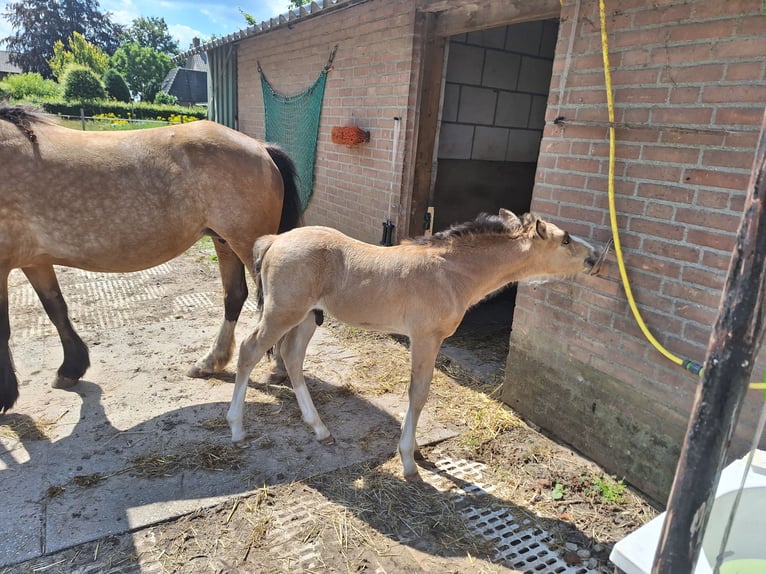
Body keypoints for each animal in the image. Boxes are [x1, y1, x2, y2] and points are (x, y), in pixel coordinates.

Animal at [0, 103, 304, 414]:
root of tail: (262, 147)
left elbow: (5, 327)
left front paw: (6, 394)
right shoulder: (34, 261)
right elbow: (56, 308)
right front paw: (71, 368)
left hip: (245, 244)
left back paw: (280, 367)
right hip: (224, 241)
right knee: (234, 296)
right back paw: (211, 362)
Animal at [228, 209, 600, 484]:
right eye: (566, 239)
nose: (596, 256)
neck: (451, 272)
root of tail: (275, 240)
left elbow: (419, 393)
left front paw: (417, 449)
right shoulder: (425, 337)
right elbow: (418, 394)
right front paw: (409, 460)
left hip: (306, 317)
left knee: (291, 358)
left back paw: (320, 429)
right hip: (283, 312)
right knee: (249, 350)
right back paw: (237, 428)